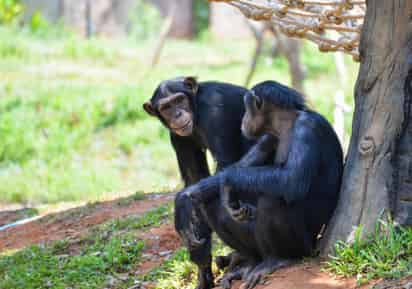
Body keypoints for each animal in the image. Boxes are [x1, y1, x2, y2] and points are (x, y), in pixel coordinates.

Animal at [180, 80, 344, 288]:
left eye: (246, 108)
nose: (243, 118)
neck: (285, 125)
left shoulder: (307, 129)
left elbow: (292, 179)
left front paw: (228, 182)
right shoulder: (268, 137)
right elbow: (242, 165)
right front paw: (184, 199)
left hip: (305, 246)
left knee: (273, 198)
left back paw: (277, 260)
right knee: (211, 202)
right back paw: (247, 264)